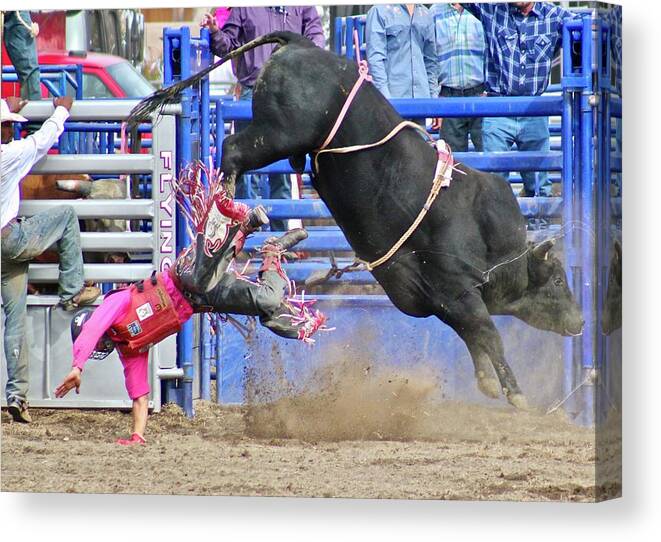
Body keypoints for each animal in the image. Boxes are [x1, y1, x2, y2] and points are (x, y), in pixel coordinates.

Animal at [129, 31, 584, 410]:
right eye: (558, 280)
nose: (580, 321)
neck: (491, 240)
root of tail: (302, 45)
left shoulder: (441, 298)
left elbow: (473, 335)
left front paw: (488, 383)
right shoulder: (458, 289)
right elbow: (489, 334)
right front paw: (517, 394)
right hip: (277, 135)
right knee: (232, 148)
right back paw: (224, 210)